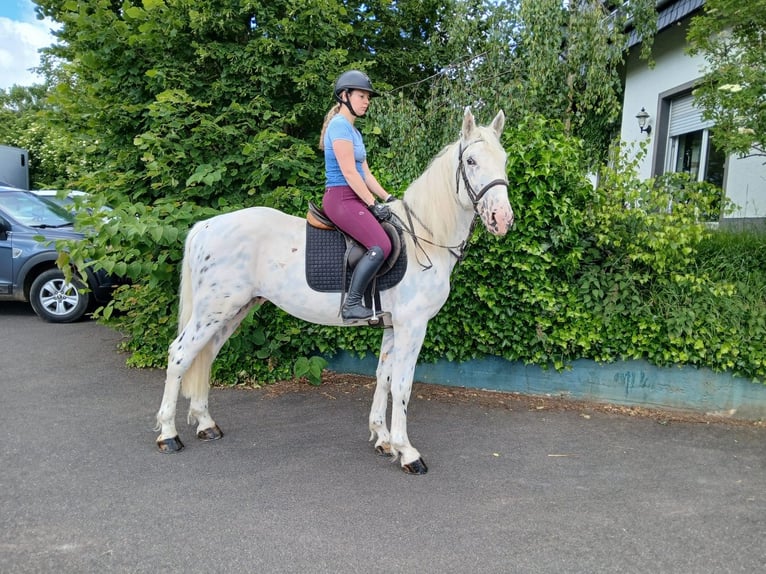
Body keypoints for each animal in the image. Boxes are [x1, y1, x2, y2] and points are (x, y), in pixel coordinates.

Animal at [154, 107, 514, 474]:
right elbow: (402, 384)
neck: (424, 239)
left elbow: (384, 377)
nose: (502, 219)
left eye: (504, 159)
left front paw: (383, 439)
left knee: (205, 356)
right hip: (213, 310)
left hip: (232, 311)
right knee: (180, 354)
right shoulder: (411, 325)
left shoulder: (392, 326)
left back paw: (206, 424)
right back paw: (168, 435)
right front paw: (408, 452)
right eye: (470, 160)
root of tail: (206, 226)